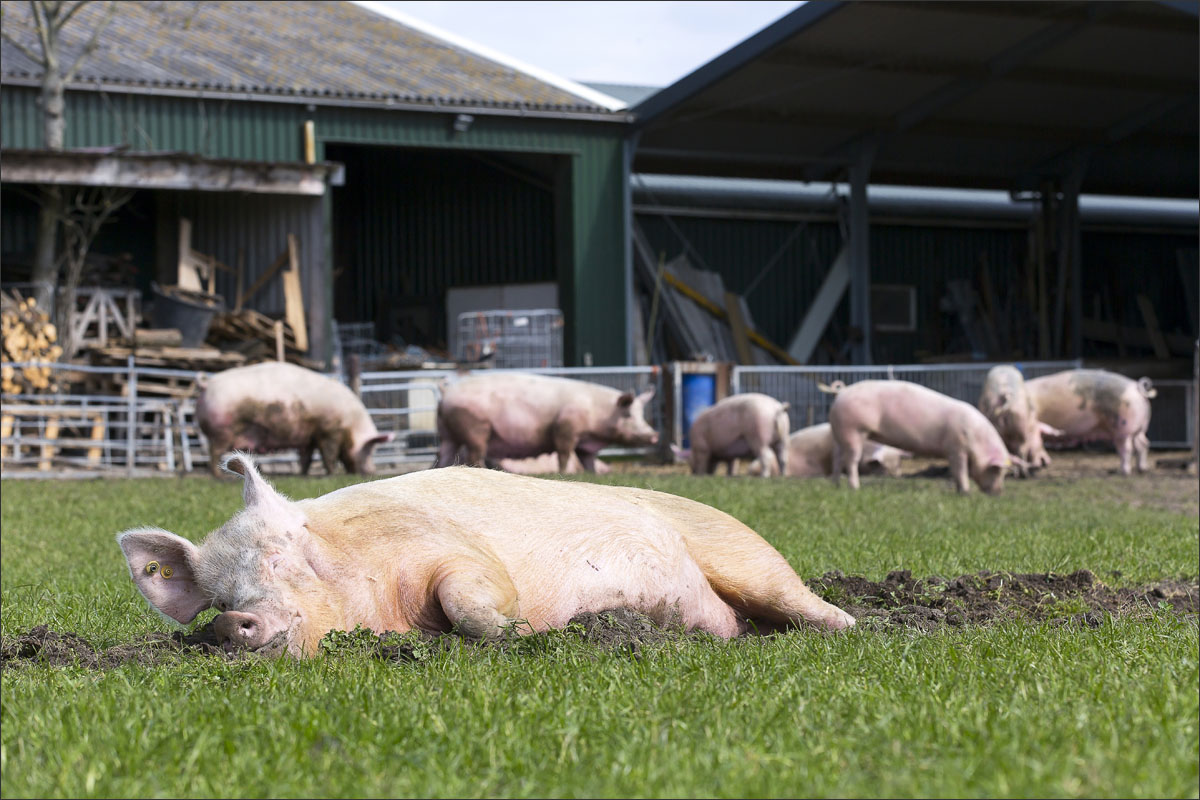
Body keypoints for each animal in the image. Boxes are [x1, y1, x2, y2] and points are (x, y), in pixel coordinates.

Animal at [117, 450, 854, 657]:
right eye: (216, 598)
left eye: (279, 560)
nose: (230, 622)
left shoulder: (458, 552)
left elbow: (469, 597)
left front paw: (523, 632)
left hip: (743, 553)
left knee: (805, 605)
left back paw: (857, 625)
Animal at [830, 381, 1017, 494]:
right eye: (997, 471)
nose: (999, 493)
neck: (977, 439)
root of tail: (842, 392)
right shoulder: (957, 446)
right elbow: (961, 470)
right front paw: (966, 492)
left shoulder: (951, 450)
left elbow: (955, 471)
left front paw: (959, 490)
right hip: (853, 430)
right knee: (851, 460)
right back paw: (855, 488)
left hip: (840, 435)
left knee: (837, 459)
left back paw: (837, 485)